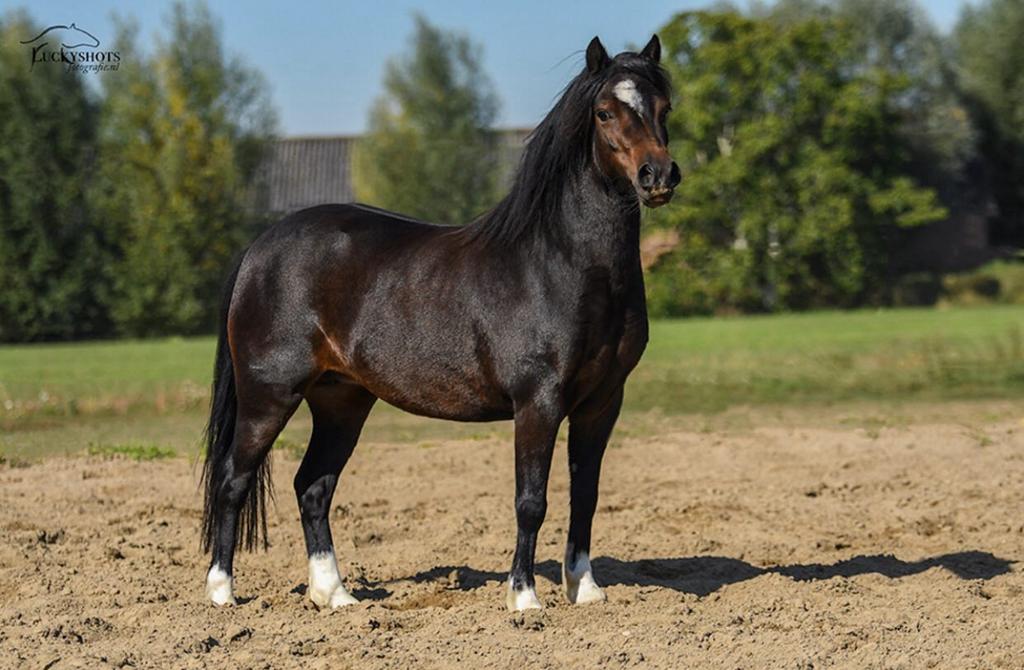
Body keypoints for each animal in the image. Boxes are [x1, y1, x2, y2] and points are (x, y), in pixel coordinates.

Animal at [201, 34, 679, 611]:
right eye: (605, 112)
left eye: (664, 108)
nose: (658, 177)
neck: (561, 263)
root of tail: (260, 247)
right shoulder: (538, 402)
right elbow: (531, 500)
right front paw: (524, 598)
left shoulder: (602, 403)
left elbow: (585, 494)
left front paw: (585, 589)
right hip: (268, 395)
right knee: (233, 480)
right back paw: (222, 594)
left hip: (341, 401)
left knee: (312, 486)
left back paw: (335, 595)